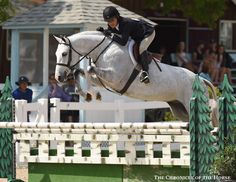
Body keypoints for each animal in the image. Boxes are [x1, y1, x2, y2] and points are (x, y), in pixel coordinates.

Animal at [53, 30, 218, 126]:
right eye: (56, 54)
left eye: (64, 54)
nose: (59, 77)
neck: (103, 51)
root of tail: (201, 79)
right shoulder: (104, 80)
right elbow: (81, 72)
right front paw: (88, 94)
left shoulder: (115, 78)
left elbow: (88, 70)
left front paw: (92, 94)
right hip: (180, 110)